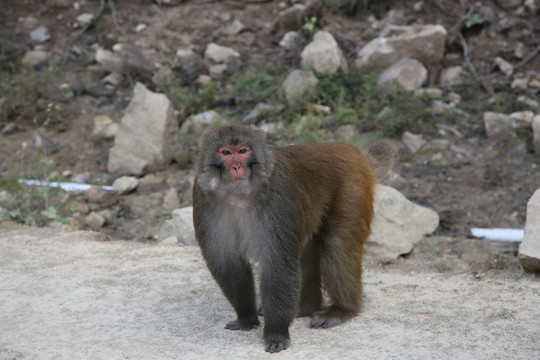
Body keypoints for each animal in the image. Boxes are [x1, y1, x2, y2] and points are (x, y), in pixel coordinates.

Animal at [192, 125, 394, 352]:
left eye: (243, 151)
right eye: (226, 152)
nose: (236, 167)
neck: (239, 196)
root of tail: (353, 150)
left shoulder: (276, 197)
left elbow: (277, 263)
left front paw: (276, 332)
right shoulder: (202, 196)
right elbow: (228, 262)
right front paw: (246, 318)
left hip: (353, 188)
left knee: (338, 244)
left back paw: (343, 309)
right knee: (304, 251)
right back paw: (305, 306)